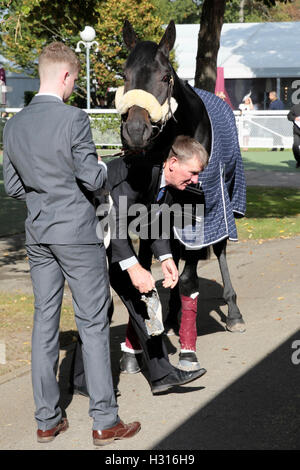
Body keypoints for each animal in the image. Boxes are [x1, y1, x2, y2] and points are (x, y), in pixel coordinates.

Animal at [115, 19, 246, 370]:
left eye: (165, 76)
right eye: (124, 75)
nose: (135, 131)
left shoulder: (199, 210)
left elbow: (189, 276)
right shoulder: (148, 209)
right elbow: (144, 269)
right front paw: (132, 350)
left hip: (223, 201)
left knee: (220, 250)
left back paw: (233, 311)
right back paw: (173, 312)